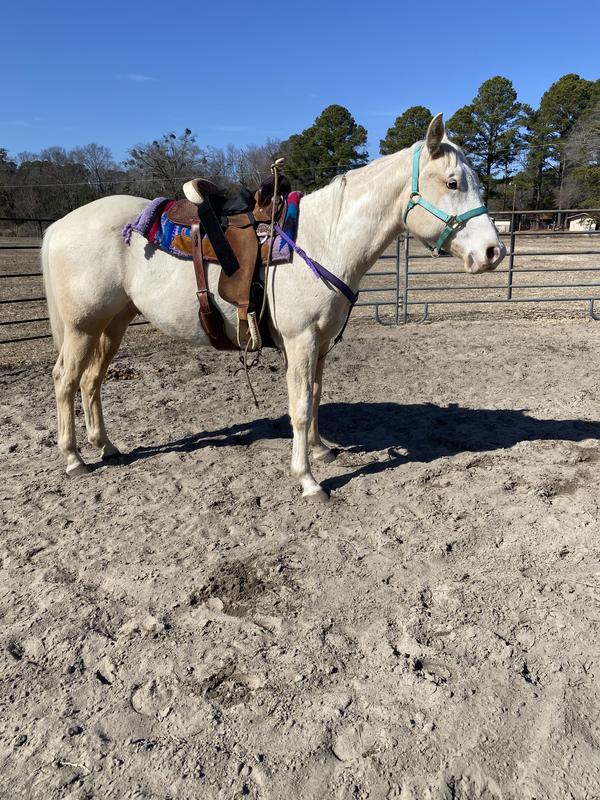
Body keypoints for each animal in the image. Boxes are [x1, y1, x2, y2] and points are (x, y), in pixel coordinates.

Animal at [42, 113, 505, 501]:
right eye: (452, 183)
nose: (493, 252)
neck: (323, 238)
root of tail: (59, 225)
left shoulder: (320, 343)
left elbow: (315, 397)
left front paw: (320, 450)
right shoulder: (300, 341)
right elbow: (299, 407)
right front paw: (308, 480)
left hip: (113, 323)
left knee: (92, 382)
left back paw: (107, 447)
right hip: (83, 326)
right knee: (66, 380)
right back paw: (74, 459)